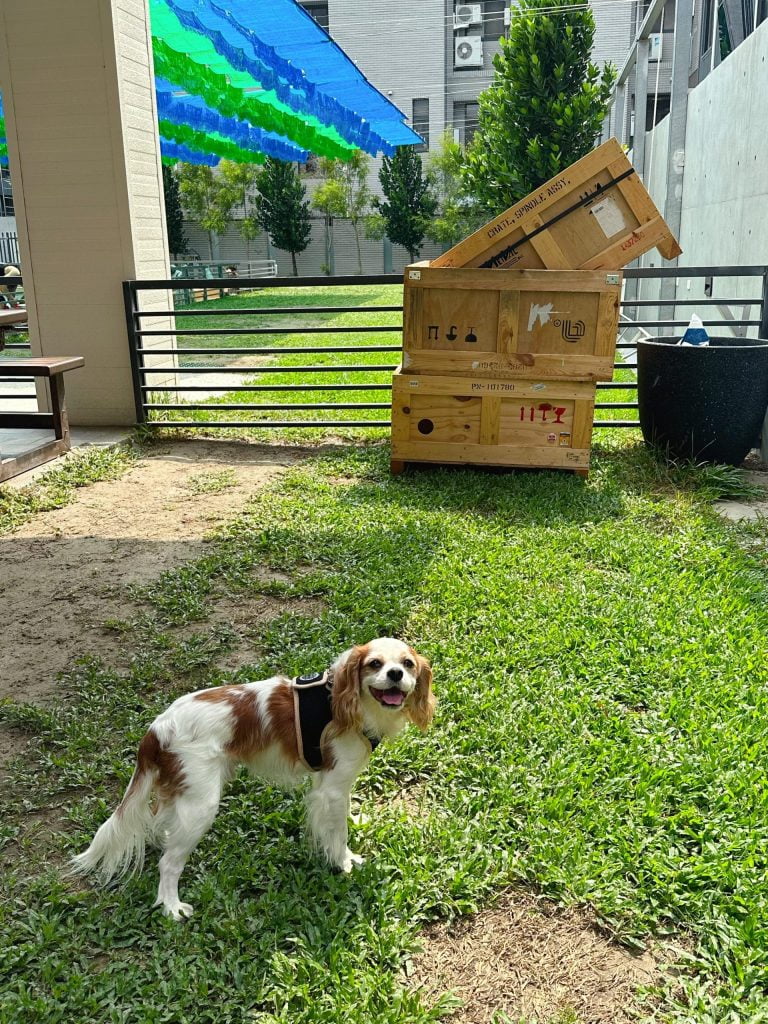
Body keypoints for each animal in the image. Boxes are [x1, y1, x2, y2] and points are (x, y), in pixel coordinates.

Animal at [70, 638, 434, 921]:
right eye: (375, 664)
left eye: (407, 664)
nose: (396, 674)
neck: (348, 702)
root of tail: (157, 727)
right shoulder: (331, 787)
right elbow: (336, 833)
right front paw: (344, 861)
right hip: (202, 805)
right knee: (169, 863)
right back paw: (171, 905)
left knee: (163, 826)